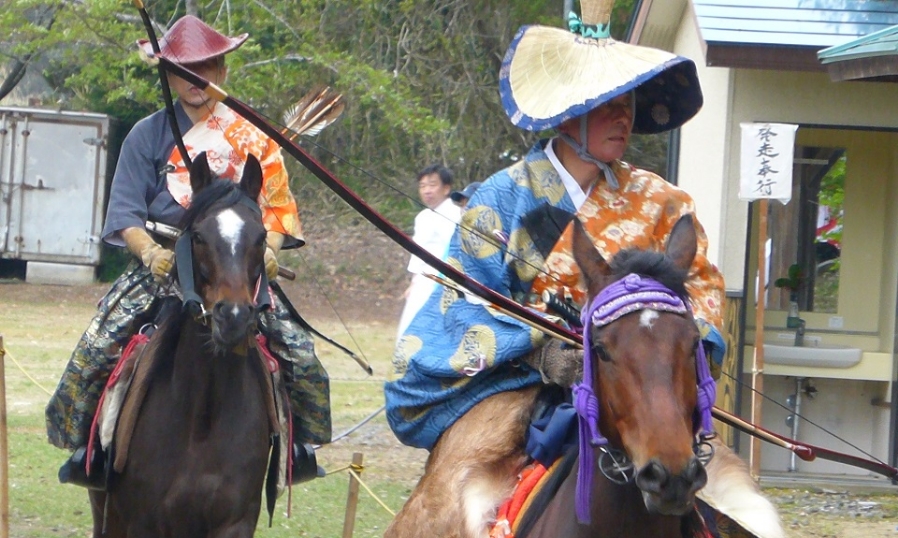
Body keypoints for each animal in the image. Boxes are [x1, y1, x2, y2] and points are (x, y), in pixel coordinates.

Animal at [89, 152, 282, 536]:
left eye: (261, 237)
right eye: (199, 237)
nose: (233, 316)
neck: (202, 417)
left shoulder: (236, 521)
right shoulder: (143, 521)